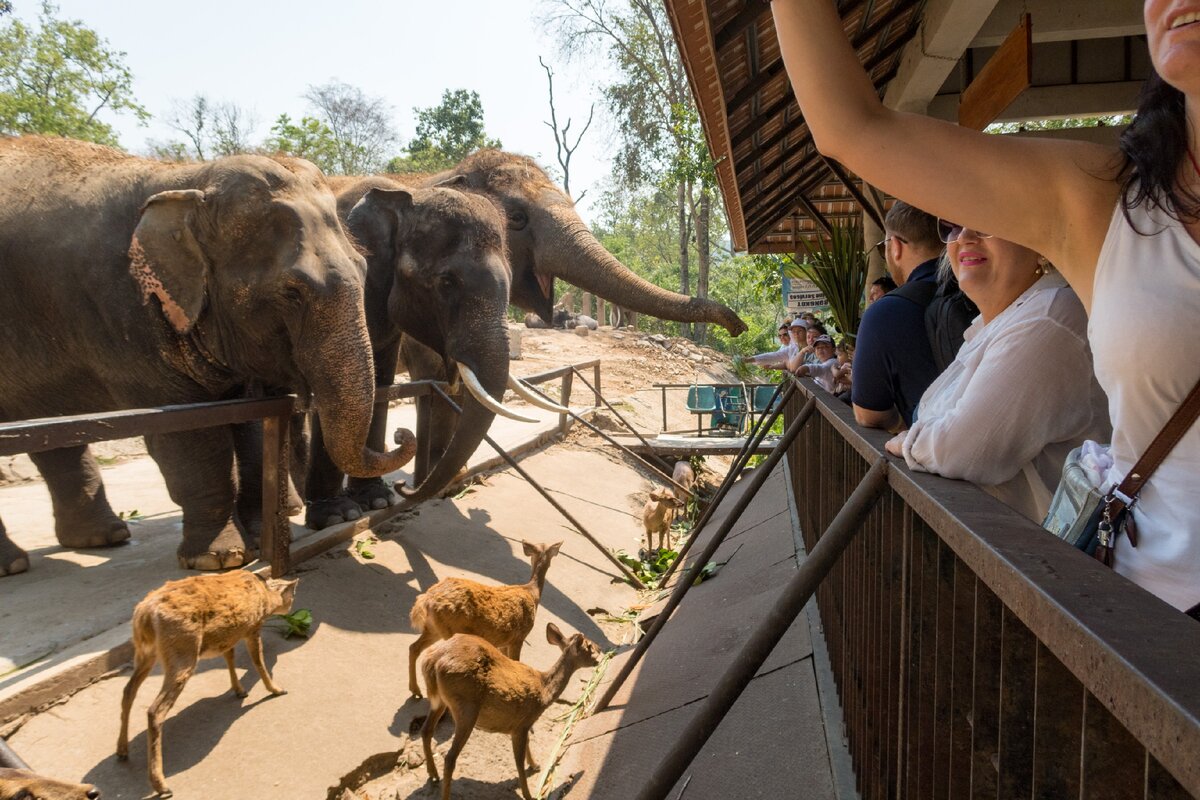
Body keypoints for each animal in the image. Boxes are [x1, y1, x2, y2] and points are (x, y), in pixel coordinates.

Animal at [0, 137, 417, 575]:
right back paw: (18, 564)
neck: (187, 180)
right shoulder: (123, 312)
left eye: (363, 269)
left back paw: (102, 538)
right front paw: (221, 559)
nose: (403, 435)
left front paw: (263, 539)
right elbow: (189, 433)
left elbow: (254, 419)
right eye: (292, 292)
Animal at [115, 573, 298, 796]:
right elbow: (258, 661)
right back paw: (161, 784)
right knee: (154, 710)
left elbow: (230, 656)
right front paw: (276, 689)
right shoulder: (252, 627)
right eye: (292, 594)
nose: (292, 606)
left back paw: (122, 750)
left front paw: (239, 690)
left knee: (128, 690)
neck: (266, 597)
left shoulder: (229, 634)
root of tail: (145, 615)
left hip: (145, 652)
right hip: (182, 650)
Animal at [408, 537, 561, 700]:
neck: (532, 593)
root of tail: (427, 599)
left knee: (414, 647)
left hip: (433, 628)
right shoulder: (518, 637)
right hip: (450, 629)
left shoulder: (504, 641)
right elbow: (516, 661)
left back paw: (415, 690)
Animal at [424, 623, 604, 800]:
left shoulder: (522, 724)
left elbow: (527, 745)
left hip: (440, 701)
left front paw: (535, 765)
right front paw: (529, 795)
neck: (544, 691)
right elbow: (518, 762)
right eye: (589, 646)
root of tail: (434, 660)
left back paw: (433, 775)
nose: (601, 649)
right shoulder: (521, 724)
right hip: (467, 707)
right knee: (450, 757)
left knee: (426, 730)